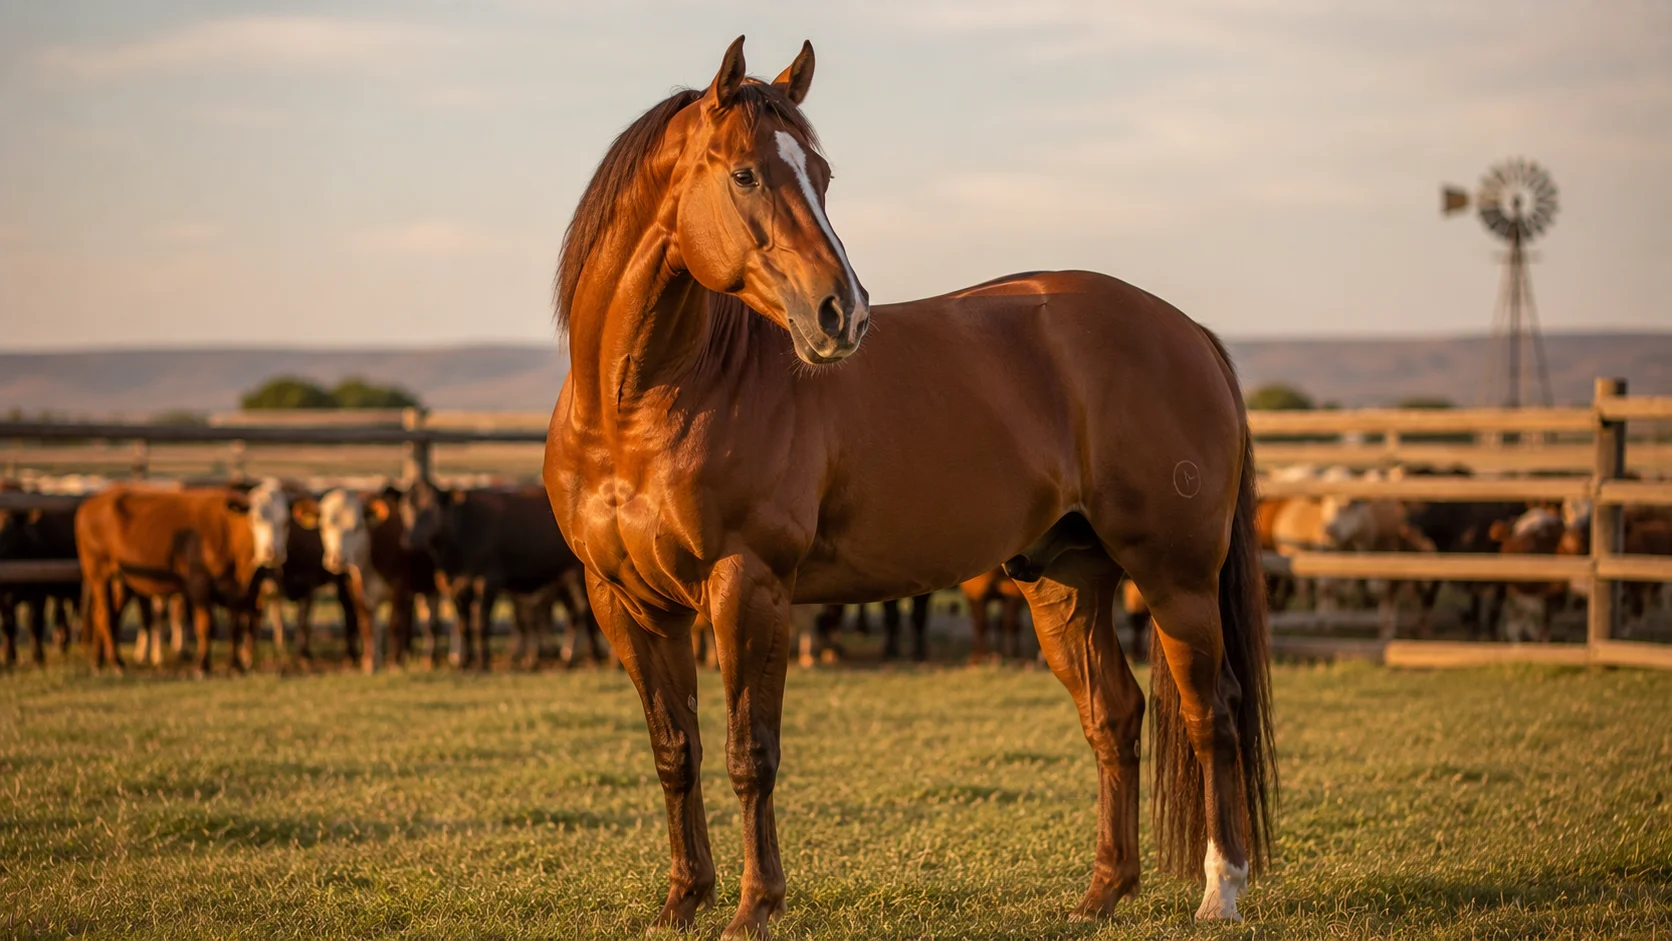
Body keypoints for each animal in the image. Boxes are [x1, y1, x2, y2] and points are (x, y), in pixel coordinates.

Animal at [541, 37, 1275, 936]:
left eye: (821, 173)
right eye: (745, 174)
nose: (842, 314)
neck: (642, 405)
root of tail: (1188, 331)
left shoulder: (747, 584)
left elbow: (751, 753)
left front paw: (754, 905)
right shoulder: (627, 602)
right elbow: (675, 751)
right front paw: (683, 899)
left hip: (1176, 579)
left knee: (1213, 715)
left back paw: (1221, 889)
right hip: (1064, 581)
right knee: (1114, 715)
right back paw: (1102, 891)